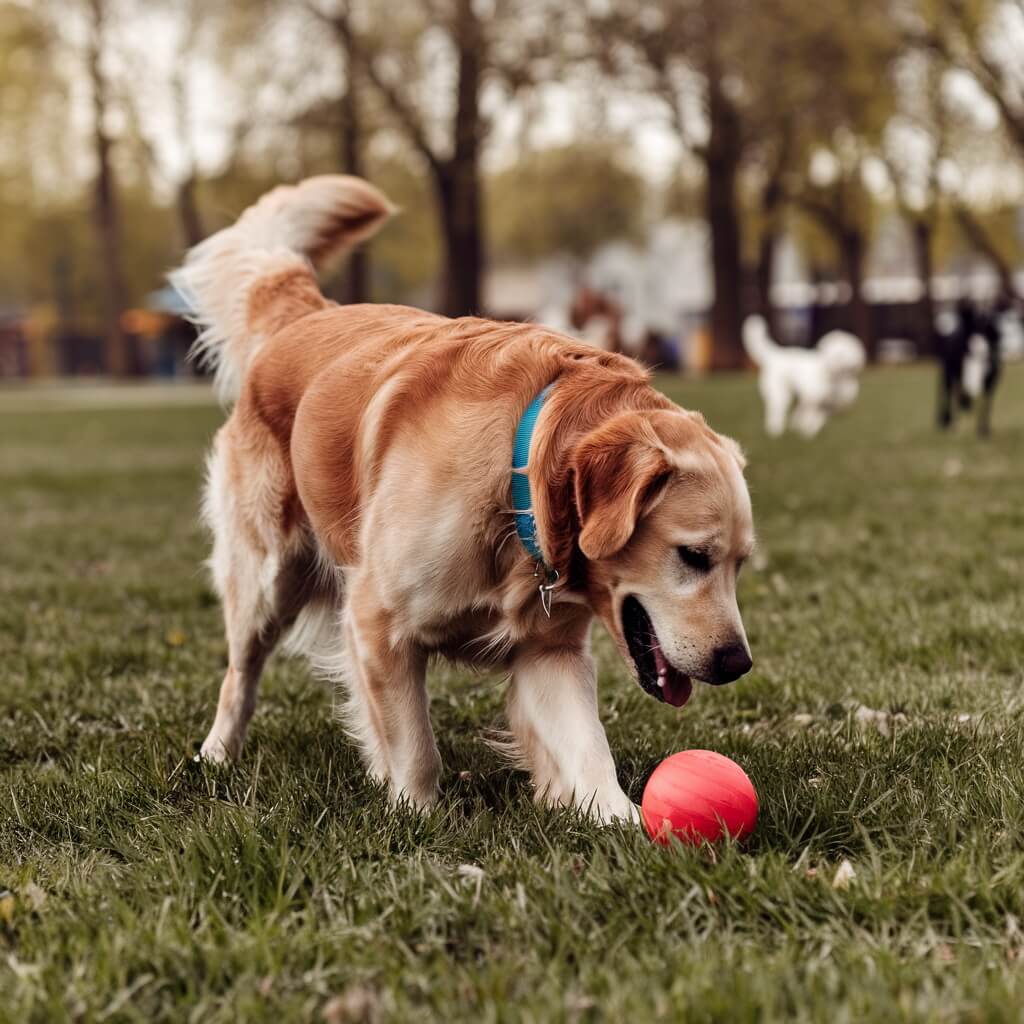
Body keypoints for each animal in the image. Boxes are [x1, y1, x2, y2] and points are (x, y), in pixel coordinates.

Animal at [172, 178, 753, 823]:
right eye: (693, 556)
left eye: (741, 565)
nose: (738, 664)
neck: (520, 483)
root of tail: (307, 314)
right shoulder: (378, 622)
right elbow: (415, 746)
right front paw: (415, 817)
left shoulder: (548, 653)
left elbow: (588, 752)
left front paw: (627, 823)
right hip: (267, 576)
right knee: (240, 674)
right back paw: (216, 755)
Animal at [937, 299, 1003, 436]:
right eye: (974, 328)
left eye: (990, 332)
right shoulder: (958, 375)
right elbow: (961, 397)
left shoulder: (991, 381)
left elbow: (985, 406)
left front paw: (983, 431)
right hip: (948, 375)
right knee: (948, 397)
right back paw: (949, 422)